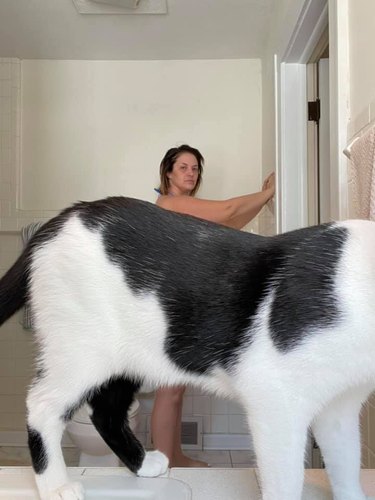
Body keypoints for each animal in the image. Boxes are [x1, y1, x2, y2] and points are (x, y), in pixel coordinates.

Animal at [0, 196, 375, 500]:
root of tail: (66, 215)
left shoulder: (340, 408)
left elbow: (346, 464)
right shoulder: (275, 397)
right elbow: (286, 482)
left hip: (127, 357)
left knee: (106, 411)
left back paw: (141, 464)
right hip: (81, 350)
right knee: (43, 405)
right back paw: (55, 485)